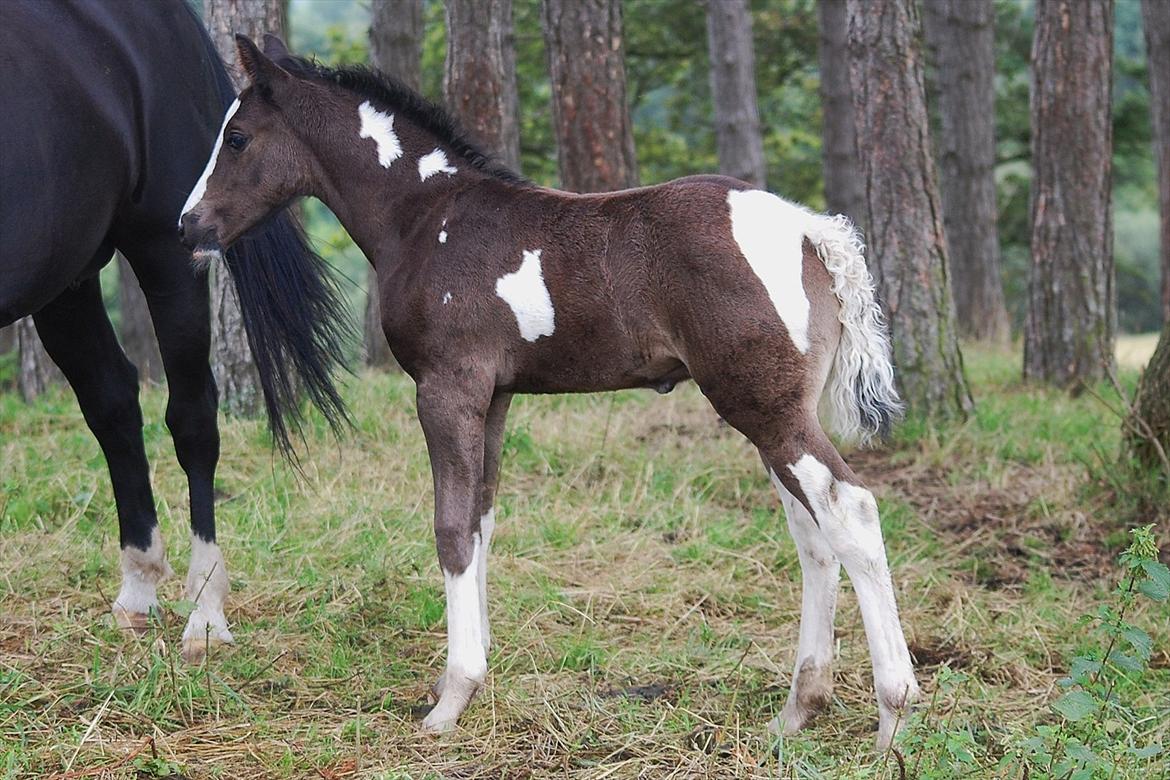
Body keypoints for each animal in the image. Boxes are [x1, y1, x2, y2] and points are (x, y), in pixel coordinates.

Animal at [0, 0, 346, 664]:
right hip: (66, 280)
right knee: (112, 401)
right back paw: (139, 587)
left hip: (167, 251)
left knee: (192, 419)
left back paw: (205, 611)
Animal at [177, 38, 917, 748]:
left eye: (237, 137)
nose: (188, 225)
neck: (426, 217)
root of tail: (808, 230)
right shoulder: (495, 397)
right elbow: (481, 518)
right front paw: (471, 676)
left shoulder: (447, 388)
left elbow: (451, 527)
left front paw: (451, 699)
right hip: (774, 411)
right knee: (812, 534)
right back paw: (798, 709)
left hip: (764, 408)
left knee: (850, 511)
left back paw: (893, 712)